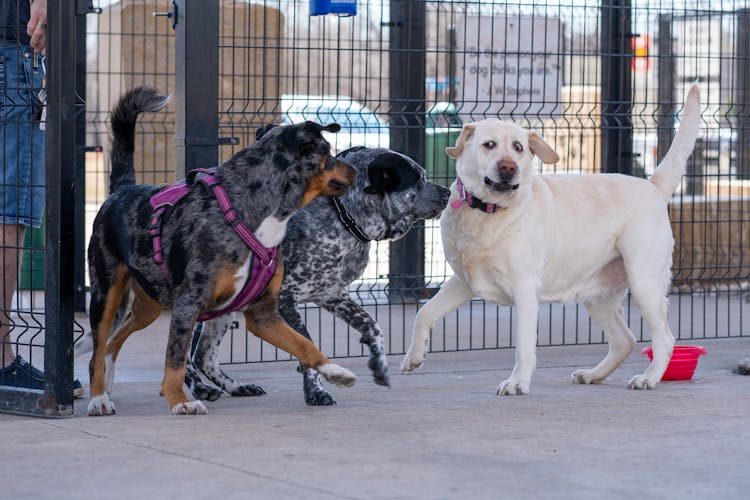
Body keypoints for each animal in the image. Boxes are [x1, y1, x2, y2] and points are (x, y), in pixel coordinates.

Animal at [86, 86, 356, 414]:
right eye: (328, 152)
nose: (355, 170)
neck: (248, 212)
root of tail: (121, 190)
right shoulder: (188, 303)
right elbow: (176, 359)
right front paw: (180, 400)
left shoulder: (264, 313)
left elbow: (304, 344)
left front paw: (335, 372)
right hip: (106, 293)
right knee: (98, 348)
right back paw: (99, 397)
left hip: (149, 304)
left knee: (114, 342)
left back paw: (109, 383)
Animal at [187, 142, 452, 406]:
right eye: (418, 179)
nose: (448, 192)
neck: (342, 214)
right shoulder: (284, 298)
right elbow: (306, 345)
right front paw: (316, 391)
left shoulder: (331, 294)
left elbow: (372, 325)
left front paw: (378, 364)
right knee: (188, 357)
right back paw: (200, 389)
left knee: (203, 357)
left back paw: (236, 387)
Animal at [406, 83, 704, 394]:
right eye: (489, 145)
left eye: (518, 147)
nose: (508, 168)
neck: (487, 213)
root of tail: (652, 186)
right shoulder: (463, 282)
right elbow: (424, 313)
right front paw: (414, 357)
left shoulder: (524, 290)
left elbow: (524, 347)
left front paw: (517, 382)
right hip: (599, 298)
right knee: (625, 340)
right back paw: (593, 374)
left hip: (644, 283)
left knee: (664, 338)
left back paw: (649, 377)